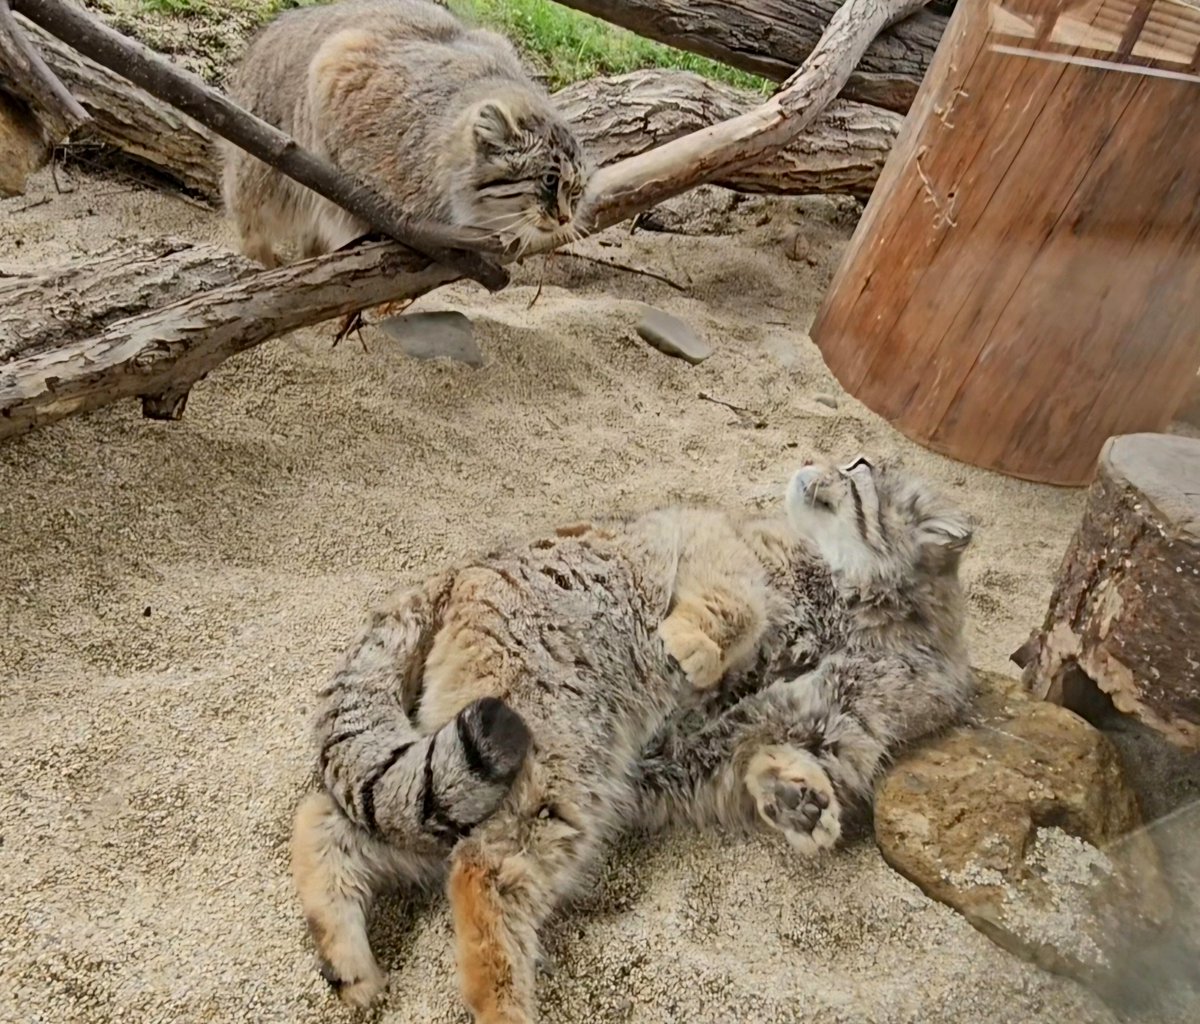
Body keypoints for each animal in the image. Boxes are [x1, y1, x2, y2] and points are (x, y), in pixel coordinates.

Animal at [222, 0, 590, 267]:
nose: (565, 218)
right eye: (550, 181)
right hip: (259, 173)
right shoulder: (338, 61)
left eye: (576, 190)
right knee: (250, 222)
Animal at [288, 456, 974, 1022]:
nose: (817, 463)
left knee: (336, 816)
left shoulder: (784, 731)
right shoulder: (715, 541)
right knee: (480, 868)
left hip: (501, 775)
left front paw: (800, 800)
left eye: (858, 471)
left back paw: (347, 956)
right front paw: (692, 646)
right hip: (551, 749)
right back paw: (501, 1007)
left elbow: (761, 754)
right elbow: (737, 604)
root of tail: (452, 575)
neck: (854, 610)